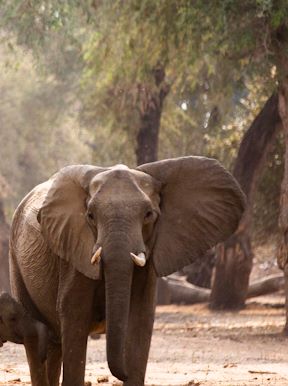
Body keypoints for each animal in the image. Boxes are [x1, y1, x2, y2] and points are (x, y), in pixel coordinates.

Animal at [9, 156, 245, 386]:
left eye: (148, 214)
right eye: (90, 215)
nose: (121, 374)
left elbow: (140, 318)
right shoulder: (74, 254)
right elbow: (74, 315)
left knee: (54, 342)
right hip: (15, 260)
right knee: (38, 335)